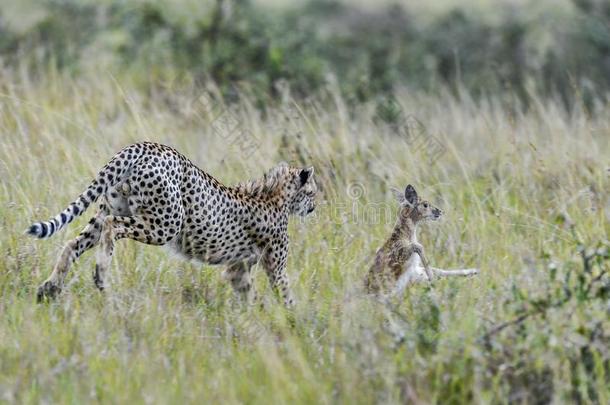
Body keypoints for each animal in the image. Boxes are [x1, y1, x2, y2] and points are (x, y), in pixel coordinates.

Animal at [27, 140, 318, 304]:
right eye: (313, 191)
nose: (314, 207)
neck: (276, 196)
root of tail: (145, 146)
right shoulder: (273, 265)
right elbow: (285, 292)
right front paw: (295, 325)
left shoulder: (237, 269)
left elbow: (249, 294)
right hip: (165, 225)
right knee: (113, 226)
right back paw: (100, 274)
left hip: (110, 211)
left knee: (72, 243)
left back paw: (49, 288)